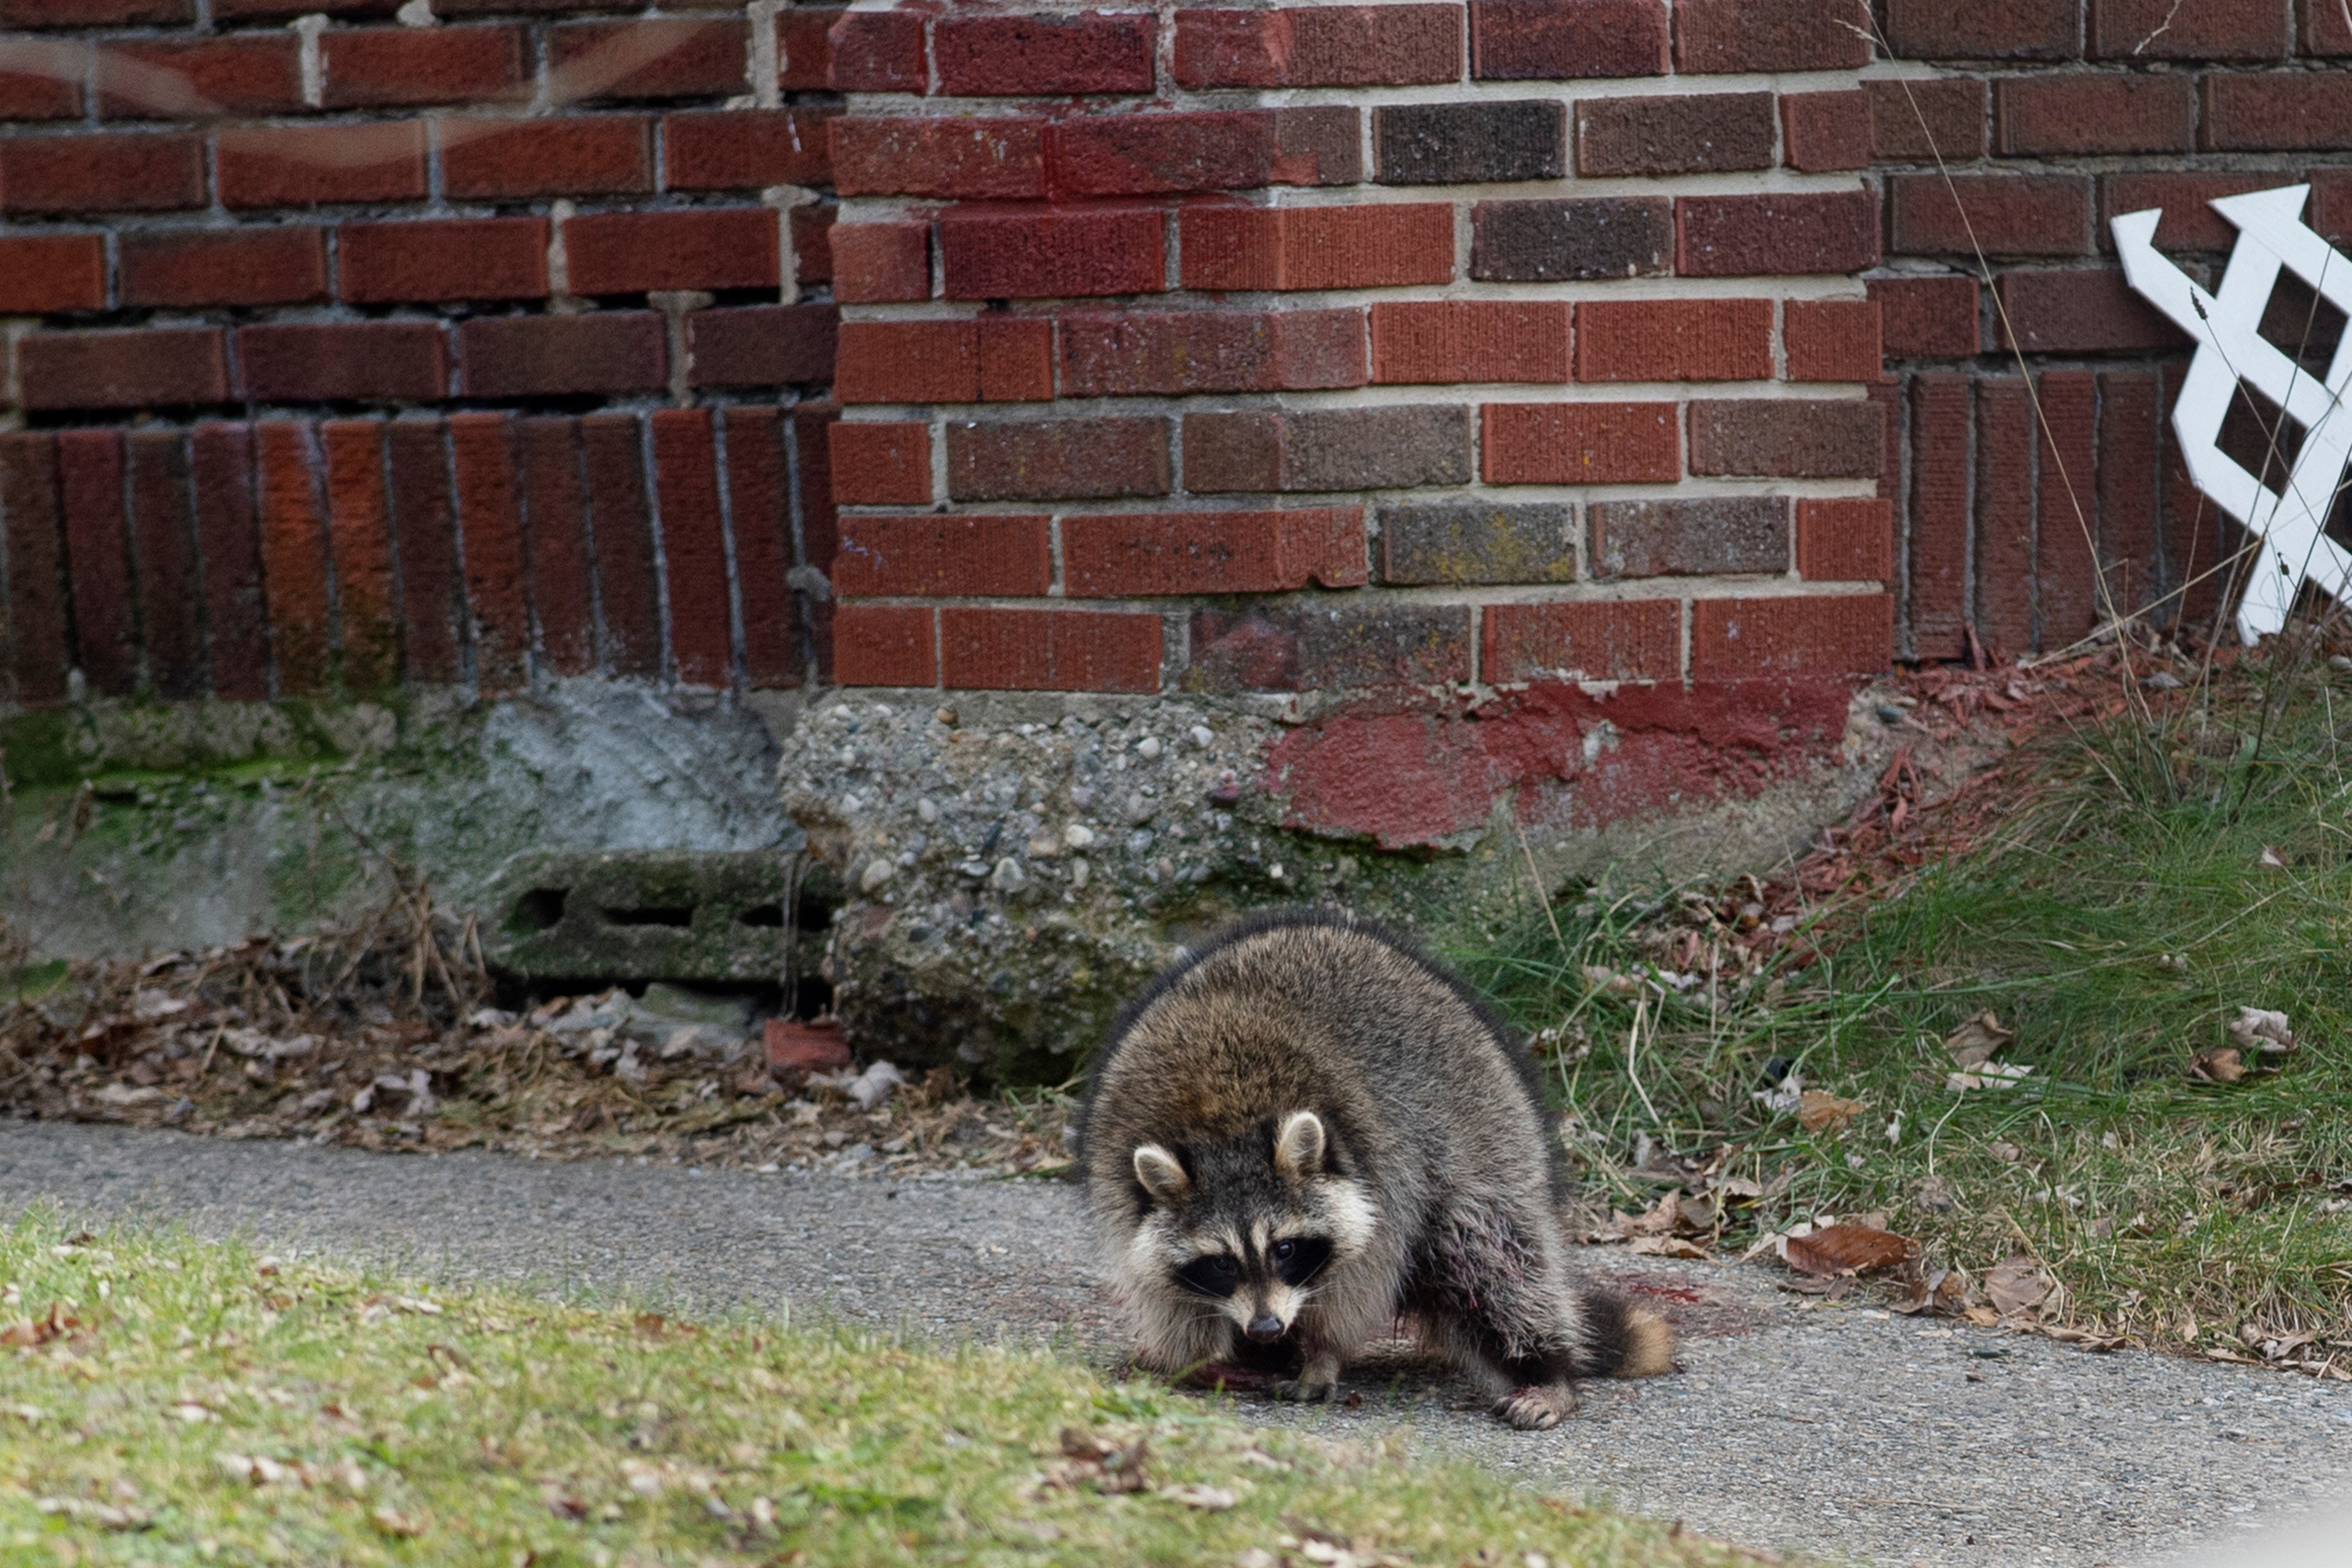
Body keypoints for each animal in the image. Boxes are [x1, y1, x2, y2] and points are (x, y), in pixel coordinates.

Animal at [1077, 907, 1673, 1430]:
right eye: (1220, 1262)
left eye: (1285, 1248)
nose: (1266, 1327)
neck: (1221, 1121)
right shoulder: (1118, 1177)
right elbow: (1168, 1298)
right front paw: (1210, 1359)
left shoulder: (1384, 1171)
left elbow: (1358, 1285)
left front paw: (1321, 1354)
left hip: (1490, 1133)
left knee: (1494, 1259)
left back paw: (1545, 1369)